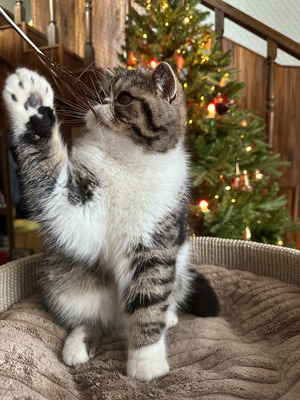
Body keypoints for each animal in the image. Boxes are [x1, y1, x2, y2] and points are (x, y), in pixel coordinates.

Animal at [2, 62, 220, 382]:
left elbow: (150, 298)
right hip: (66, 285)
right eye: (101, 93)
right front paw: (32, 105)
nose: (99, 102)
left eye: (125, 98)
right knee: (92, 319)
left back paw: (168, 316)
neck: (124, 162)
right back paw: (79, 344)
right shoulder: (78, 209)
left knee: (167, 294)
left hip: (179, 266)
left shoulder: (155, 242)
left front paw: (146, 359)